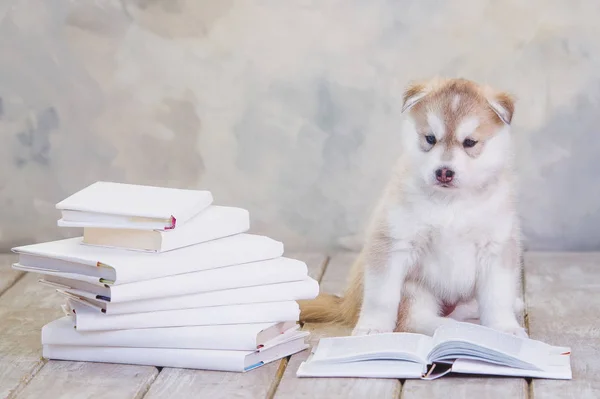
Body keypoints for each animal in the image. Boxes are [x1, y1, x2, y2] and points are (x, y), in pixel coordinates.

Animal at [300, 77, 524, 338]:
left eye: (470, 142)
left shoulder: (496, 247)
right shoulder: (394, 243)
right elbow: (381, 297)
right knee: (417, 321)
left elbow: (497, 298)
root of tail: (345, 304)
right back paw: (458, 330)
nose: (444, 172)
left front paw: (505, 328)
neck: (450, 203)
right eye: (430, 139)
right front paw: (372, 327)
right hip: (414, 291)